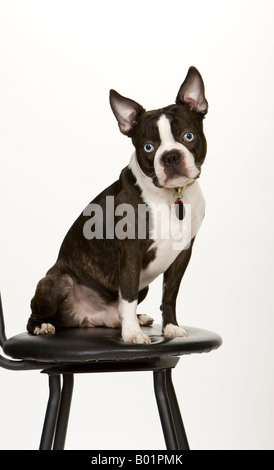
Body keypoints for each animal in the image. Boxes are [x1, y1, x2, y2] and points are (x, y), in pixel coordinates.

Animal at [27, 66, 208, 344]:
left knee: (118, 311)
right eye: (148, 147)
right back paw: (44, 326)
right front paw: (132, 334)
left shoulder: (183, 252)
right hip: (54, 282)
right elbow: (129, 296)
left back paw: (131, 319)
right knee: (35, 315)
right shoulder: (131, 251)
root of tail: (84, 318)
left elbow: (169, 295)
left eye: (188, 136)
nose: (170, 156)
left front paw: (170, 327)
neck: (171, 196)